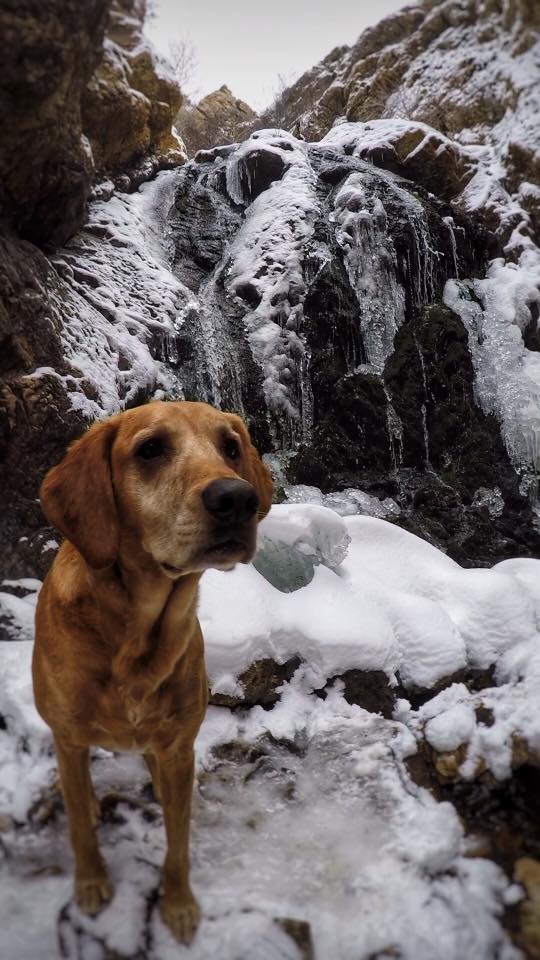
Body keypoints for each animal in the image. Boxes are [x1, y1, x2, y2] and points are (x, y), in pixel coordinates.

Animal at [31, 400, 272, 944]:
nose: (237, 498)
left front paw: (178, 905)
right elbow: (80, 828)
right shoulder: (69, 739)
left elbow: (177, 843)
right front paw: (91, 882)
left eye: (231, 447)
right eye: (150, 449)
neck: (134, 638)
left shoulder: (179, 746)